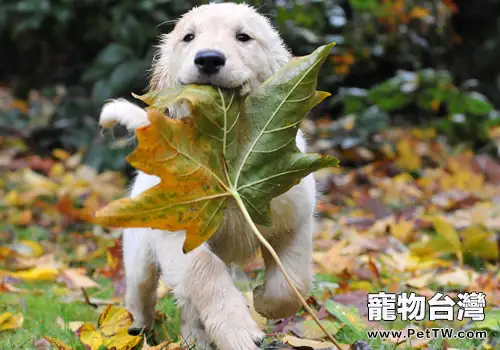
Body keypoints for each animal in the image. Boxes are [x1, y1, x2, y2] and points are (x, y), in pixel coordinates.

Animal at [100, 3, 316, 350]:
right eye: (189, 37)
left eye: (243, 37)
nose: (209, 59)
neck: (226, 149)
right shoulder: (180, 235)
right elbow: (206, 275)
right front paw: (238, 332)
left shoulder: (294, 219)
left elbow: (293, 281)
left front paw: (264, 301)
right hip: (139, 253)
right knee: (142, 293)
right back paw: (135, 330)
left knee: (188, 307)